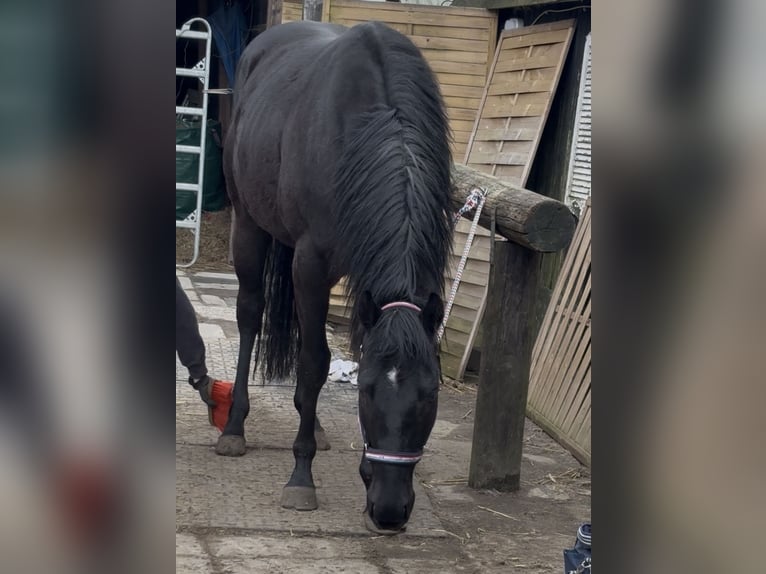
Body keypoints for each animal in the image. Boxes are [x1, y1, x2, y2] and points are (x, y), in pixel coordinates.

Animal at [220, 20, 453, 533]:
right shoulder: (310, 262)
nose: (389, 511)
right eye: (365, 392)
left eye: (430, 394)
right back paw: (234, 428)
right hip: (249, 225)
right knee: (250, 316)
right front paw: (300, 478)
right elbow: (314, 362)